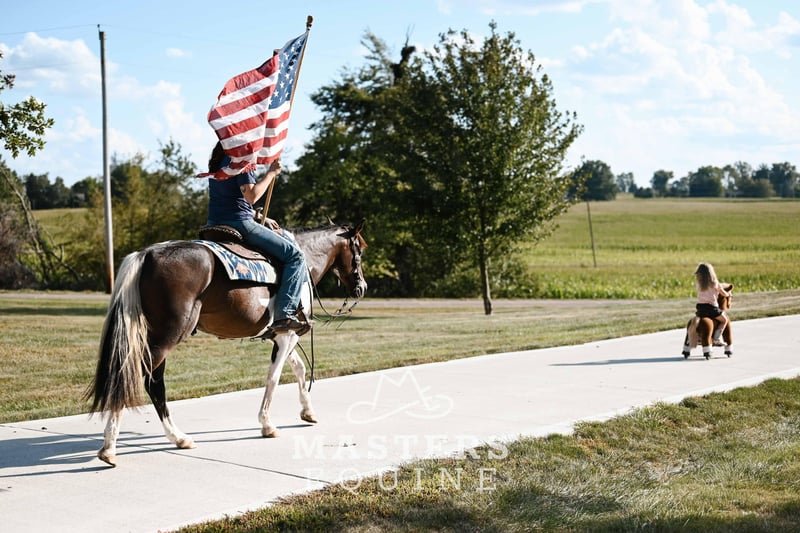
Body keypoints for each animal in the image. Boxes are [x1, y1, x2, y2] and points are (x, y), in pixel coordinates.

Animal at [86, 220, 367, 466]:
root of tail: (147, 254)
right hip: (167, 336)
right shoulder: (287, 334)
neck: (304, 258)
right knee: (137, 377)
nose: (362, 287)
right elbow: (273, 378)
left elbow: (299, 368)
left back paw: (178, 438)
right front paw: (267, 424)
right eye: (360, 250)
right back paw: (110, 448)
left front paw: (308, 412)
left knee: (153, 382)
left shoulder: (282, 336)